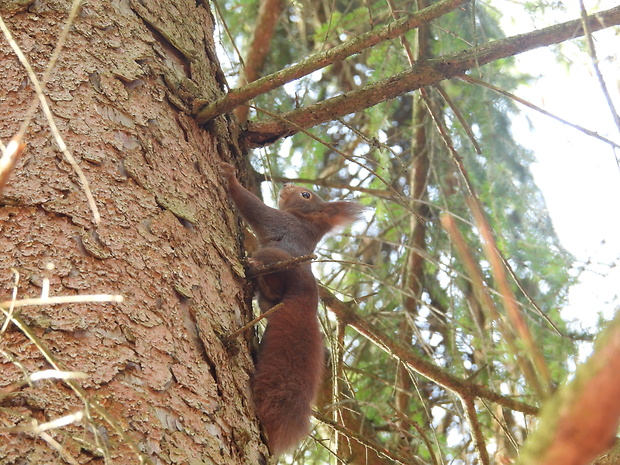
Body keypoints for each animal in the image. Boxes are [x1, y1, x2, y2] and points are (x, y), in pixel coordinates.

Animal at [220, 161, 364, 454]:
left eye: (306, 195)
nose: (286, 184)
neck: (306, 222)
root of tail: (305, 299)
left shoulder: (280, 221)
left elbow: (253, 207)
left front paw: (230, 176)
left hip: (275, 257)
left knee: (272, 281)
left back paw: (254, 268)